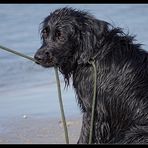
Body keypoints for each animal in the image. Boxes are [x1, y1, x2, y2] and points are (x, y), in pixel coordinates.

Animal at [33, 7, 148, 143]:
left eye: (60, 36)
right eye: (45, 33)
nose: (37, 57)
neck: (91, 54)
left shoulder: (94, 111)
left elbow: (84, 137)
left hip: (134, 133)